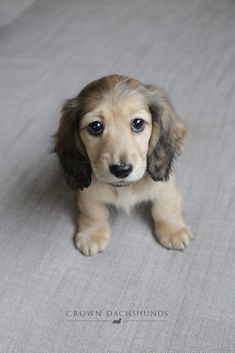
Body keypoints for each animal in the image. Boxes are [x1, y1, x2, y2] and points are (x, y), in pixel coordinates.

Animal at [54, 75, 192, 256]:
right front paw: (92, 234)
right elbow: (93, 213)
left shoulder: (166, 187)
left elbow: (165, 208)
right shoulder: (87, 193)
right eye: (95, 126)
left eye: (138, 123)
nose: (121, 170)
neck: (124, 188)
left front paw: (173, 230)